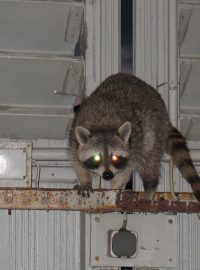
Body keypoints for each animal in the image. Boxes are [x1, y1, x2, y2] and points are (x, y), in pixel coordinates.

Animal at [69, 72, 200, 200]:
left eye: (115, 157)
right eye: (97, 158)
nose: (108, 175)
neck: (103, 127)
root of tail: (166, 118)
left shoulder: (134, 145)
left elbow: (126, 171)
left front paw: (115, 188)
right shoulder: (75, 139)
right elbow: (78, 164)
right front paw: (86, 182)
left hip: (154, 131)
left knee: (148, 160)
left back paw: (150, 186)